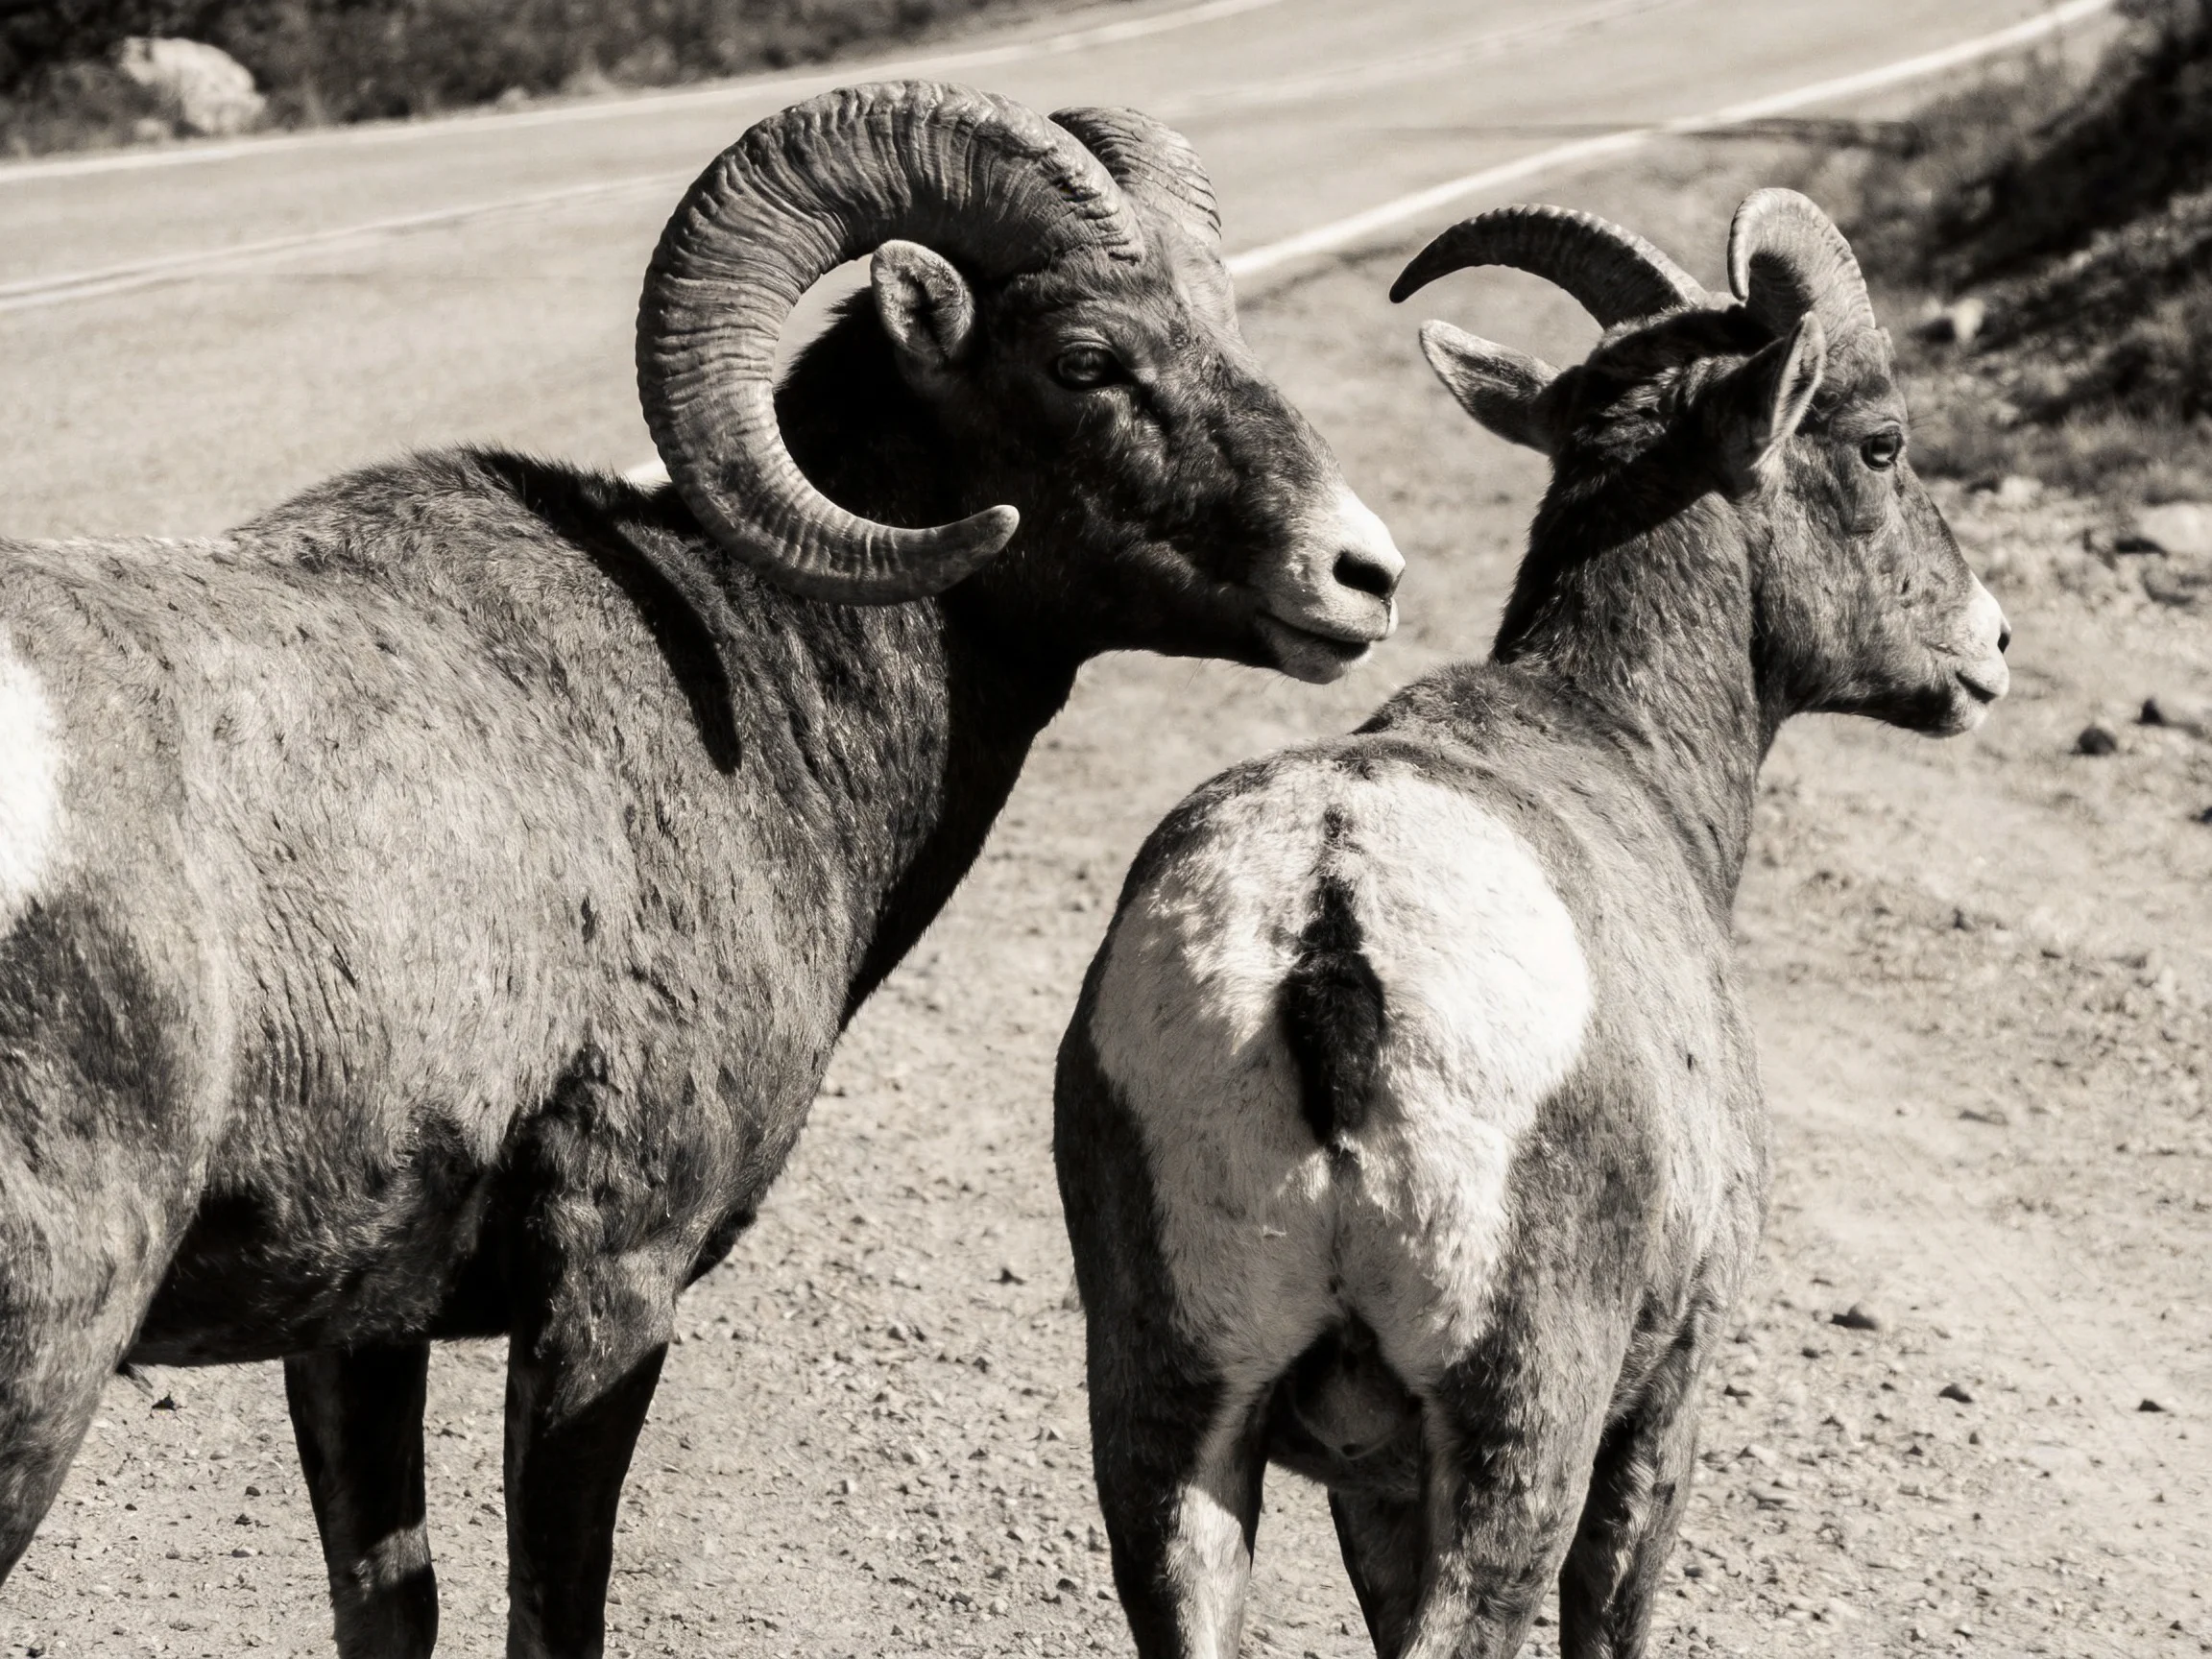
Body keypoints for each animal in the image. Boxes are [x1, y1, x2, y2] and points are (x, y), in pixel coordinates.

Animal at [0, 81, 1403, 1659]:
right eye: (1086, 358)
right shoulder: (613, 1286)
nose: (1362, 576)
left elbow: (395, 1603)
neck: (745, 689)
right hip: (45, 1365)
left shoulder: (359, 1332)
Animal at [1054, 190, 2009, 1659]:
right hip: (1521, 1424)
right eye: (1881, 444)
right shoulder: (1664, 1398)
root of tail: (1326, 926)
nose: (1990, 648)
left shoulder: (1371, 1477)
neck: (1613, 741)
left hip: (1172, 1419)